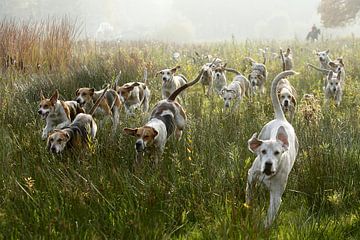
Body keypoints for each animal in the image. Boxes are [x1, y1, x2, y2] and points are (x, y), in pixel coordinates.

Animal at [246, 70, 300, 228]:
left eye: (277, 153)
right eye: (263, 151)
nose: (268, 164)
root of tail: (281, 119)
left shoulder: (276, 195)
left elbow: (270, 216)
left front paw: (262, 228)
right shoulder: (250, 177)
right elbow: (249, 197)